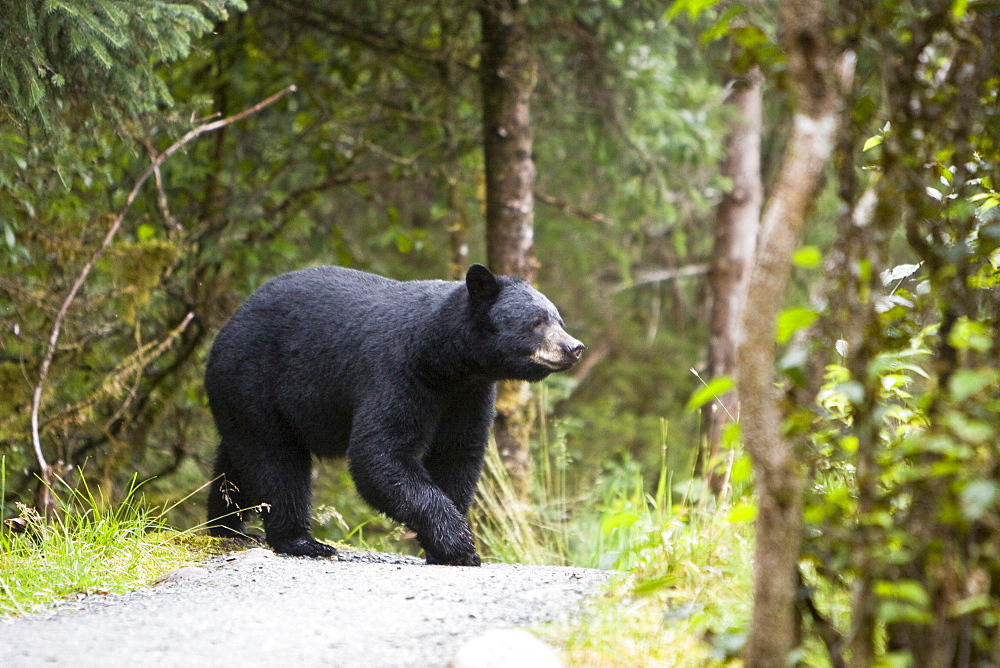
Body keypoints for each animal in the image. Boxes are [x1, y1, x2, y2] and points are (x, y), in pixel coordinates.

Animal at [203, 264, 584, 568]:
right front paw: (458, 544)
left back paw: (227, 527)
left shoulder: (468, 396)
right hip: (254, 381)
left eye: (559, 320)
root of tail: (229, 325)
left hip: (241, 397)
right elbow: (381, 455)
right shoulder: (396, 372)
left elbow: (457, 456)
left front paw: (443, 548)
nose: (574, 347)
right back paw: (301, 541)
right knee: (276, 462)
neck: (445, 362)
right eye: (536, 322)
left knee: (237, 463)